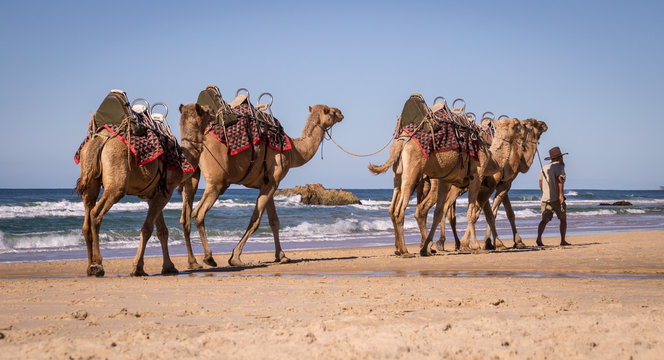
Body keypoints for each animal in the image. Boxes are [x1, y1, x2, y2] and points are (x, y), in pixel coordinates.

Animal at [76, 102, 214, 278]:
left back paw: (89, 267)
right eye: (206, 111)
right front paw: (137, 268)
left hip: (89, 180)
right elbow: (147, 229)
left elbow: (162, 231)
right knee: (95, 213)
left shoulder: (153, 195)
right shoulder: (166, 192)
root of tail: (101, 141)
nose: (214, 114)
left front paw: (169, 267)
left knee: (87, 219)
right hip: (116, 185)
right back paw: (98, 265)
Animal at [180, 104, 342, 268]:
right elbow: (255, 221)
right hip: (216, 183)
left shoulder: (269, 183)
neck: (294, 151)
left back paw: (193, 262)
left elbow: (274, 221)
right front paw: (235, 258)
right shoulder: (272, 182)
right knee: (198, 213)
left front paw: (282, 256)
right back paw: (209, 258)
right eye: (331, 112)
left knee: (185, 217)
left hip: (192, 176)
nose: (340, 113)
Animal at [368, 116, 520, 256]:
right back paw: (405, 251)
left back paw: (402, 249)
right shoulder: (477, 177)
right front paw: (476, 246)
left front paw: (426, 248)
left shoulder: (445, 181)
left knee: (395, 207)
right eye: (515, 125)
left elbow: (438, 212)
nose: (521, 137)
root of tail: (402, 140)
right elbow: (472, 213)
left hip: (397, 173)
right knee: (400, 210)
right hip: (412, 169)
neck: (490, 158)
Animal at [416, 118, 548, 250]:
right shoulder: (498, 185)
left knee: (440, 210)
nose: (545, 125)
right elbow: (489, 213)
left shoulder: (497, 185)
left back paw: (434, 243)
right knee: (429, 208)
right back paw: (435, 243)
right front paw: (491, 243)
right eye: (535, 124)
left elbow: (504, 213)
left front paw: (509, 242)